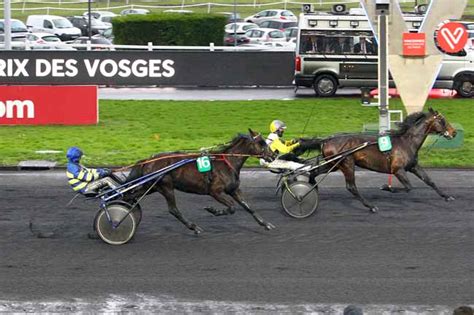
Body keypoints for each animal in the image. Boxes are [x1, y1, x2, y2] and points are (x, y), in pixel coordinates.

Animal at [126, 130, 276, 236]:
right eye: (261, 143)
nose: (274, 155)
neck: (227, 163)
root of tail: (148, 160)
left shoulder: (233, 190)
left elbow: (248, 207)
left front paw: (266, 224)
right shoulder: (215, 191)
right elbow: (232, 207)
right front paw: (213, 210)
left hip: (152, 187)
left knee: (131, 196)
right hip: (166, 187)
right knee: (173, 210)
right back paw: (194, 227)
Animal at [298, 107, 458, 214]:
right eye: (442, 120)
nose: (454, 132)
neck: (407, 142)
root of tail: (326, 140)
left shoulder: (413, 166)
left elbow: (430, 181)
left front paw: (447, 196)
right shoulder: (397, 170)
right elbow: (408, 187)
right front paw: (386, 187)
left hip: (333, 164)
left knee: (314, 172)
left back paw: (310, 190)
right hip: (347, 164)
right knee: (351, 187)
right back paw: (371, 206)